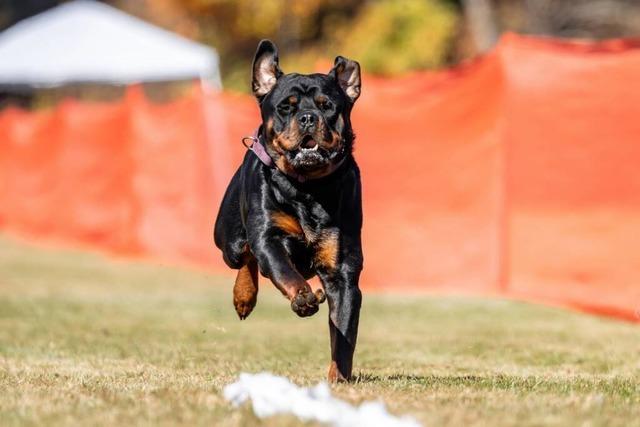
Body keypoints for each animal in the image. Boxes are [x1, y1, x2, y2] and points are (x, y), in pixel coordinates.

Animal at [215, 39, 362, 382]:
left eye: (327, 106)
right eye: (286, 107)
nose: (308, 117)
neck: (307, 188)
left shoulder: (343, 270)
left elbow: (343, 334)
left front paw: (338, 378)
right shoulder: (267, 237)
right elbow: (283, 269)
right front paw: (303, 296)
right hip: (228, 242)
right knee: (245, 257)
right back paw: (243, 297)